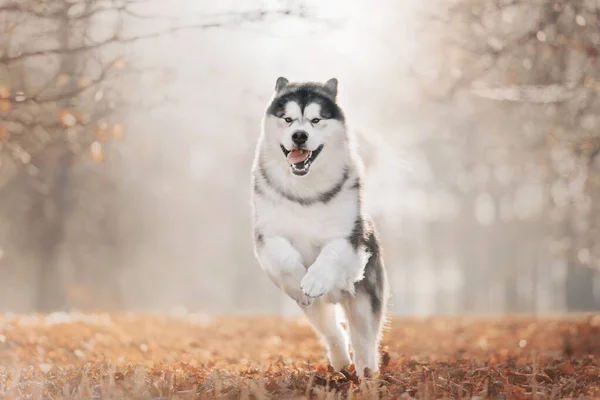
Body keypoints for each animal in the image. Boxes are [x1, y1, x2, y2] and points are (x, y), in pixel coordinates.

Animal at [250, 77, 386, 376]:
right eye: (288, 119)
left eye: (315, 120)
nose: (299, 135)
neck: (305, 192)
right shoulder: (267, 235)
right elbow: (285, 258)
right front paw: (299, 277)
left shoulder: (349, 236)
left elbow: (331, 253)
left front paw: (315, 278)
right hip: (316, 310)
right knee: (333, 331)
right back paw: (341, 361)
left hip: (362, 298)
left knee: (364, 340)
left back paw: (367, 373)